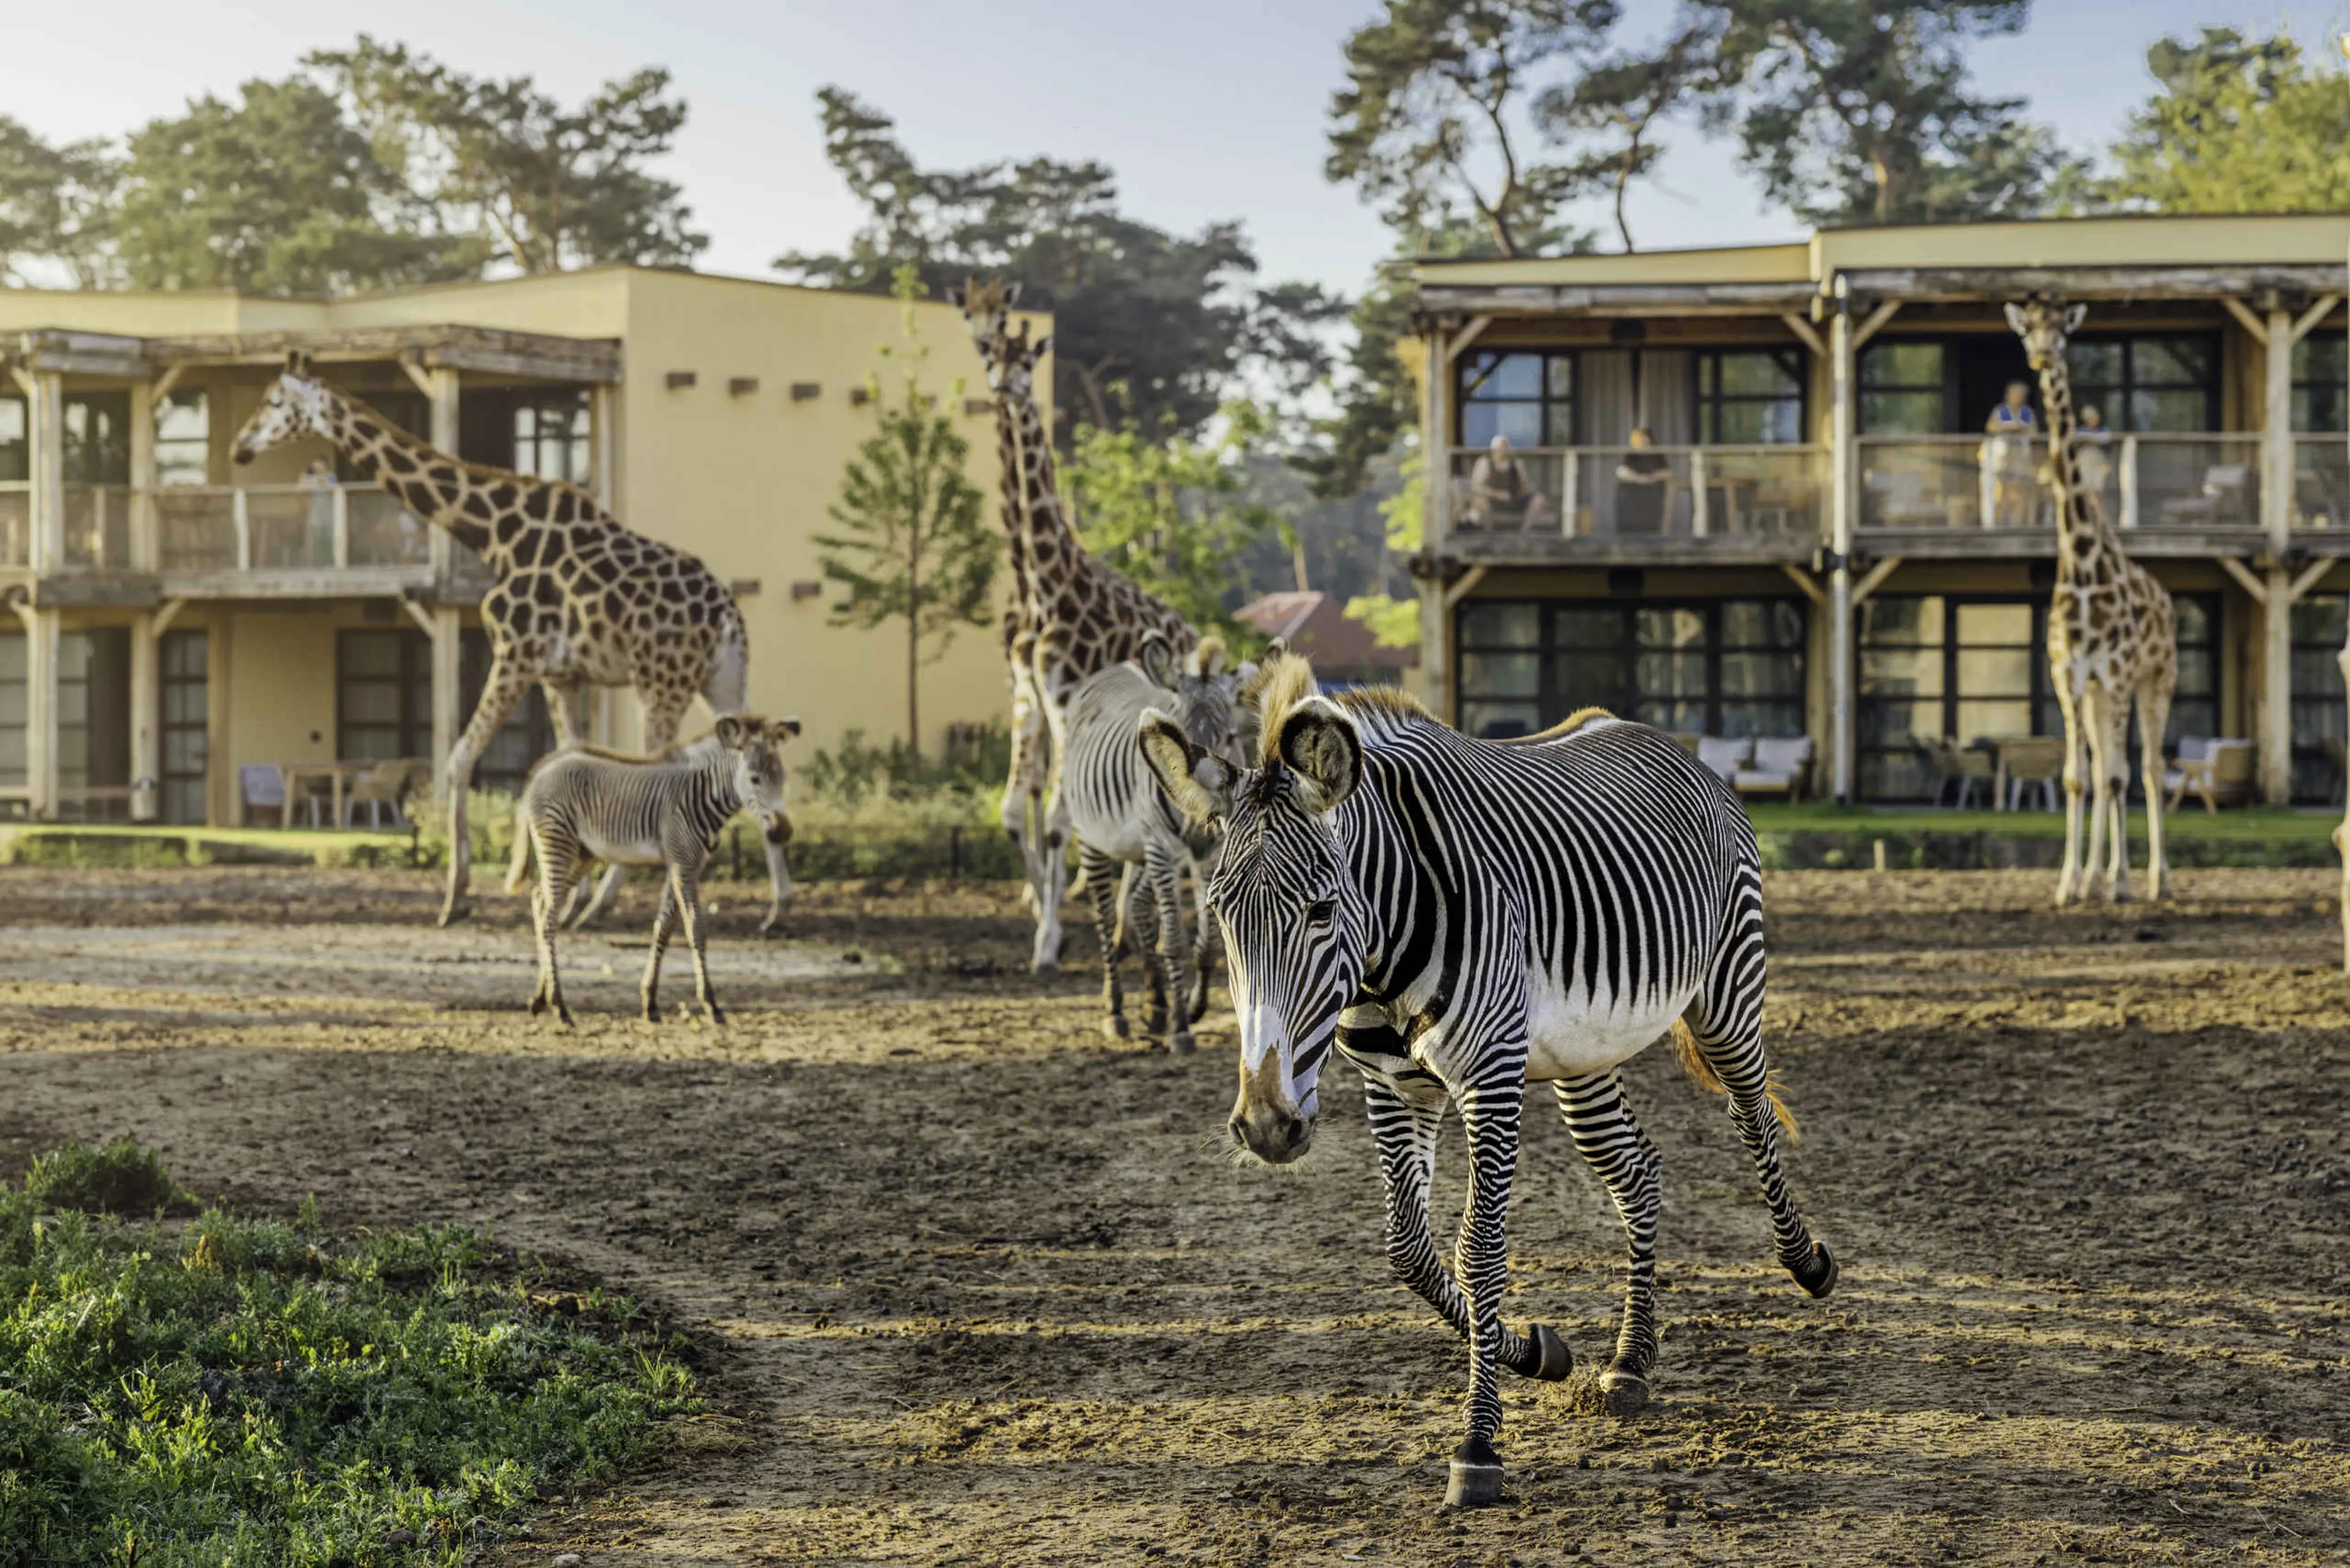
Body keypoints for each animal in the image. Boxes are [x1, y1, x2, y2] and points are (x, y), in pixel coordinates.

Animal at [504, 715, 798, 1027]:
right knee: (549, 916)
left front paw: (651, 1001)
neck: (700, 794)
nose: (783, 833)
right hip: (558, 843)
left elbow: (664, 927)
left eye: (783, 778)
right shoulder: (683, 863)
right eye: (755, 779)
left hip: (584, 854)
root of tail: (543, 770)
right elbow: (696, 926)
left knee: (540, 899)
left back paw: (540, 998)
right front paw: (711, 1004)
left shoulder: (684, 864)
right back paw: (560, 1006)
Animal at [1061, 631, 1246, 1052]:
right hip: (1094, 838)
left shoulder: (1209, 853)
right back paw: (1116, 1011)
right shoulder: (1163, 846)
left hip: (1142, 851)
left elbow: (1208, 941)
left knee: (1137, 907)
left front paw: (1192, 1007)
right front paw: (1181, 1026)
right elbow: (1174, 938)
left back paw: (1154, 1003)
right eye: (1177, 742)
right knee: (1106, 917)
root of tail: (1114, 668)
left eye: (1230, 738)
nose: (1200, 824)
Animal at [1137, 656, 1836, 1510]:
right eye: (1221, 914)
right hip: (1583, 1059)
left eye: (1321, 910)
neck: (1383, 945)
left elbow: (1479, 1249)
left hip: (1728, 991)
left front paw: (1478, 1446)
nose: (1267, 1125)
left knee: (1751, 1111)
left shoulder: (1491, 1077)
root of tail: (1651, 733)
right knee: (1638, 1172)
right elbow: (1409, 1249)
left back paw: (1807, 1262)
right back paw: (1630, 1362)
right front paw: (1536, 1350)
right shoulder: (1392, 1087)